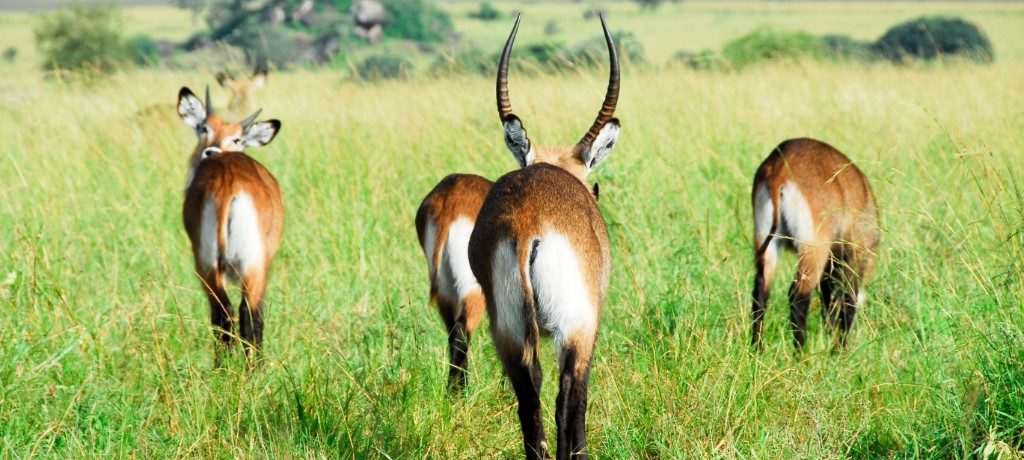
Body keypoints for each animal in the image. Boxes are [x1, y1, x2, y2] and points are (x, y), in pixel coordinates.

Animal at [178, 85, 284, 358]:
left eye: (237, 138)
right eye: (204, 127)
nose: (210, 150)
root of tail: (228, 179)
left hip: (209, 265)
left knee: (224, 313)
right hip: (249, 265)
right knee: (242, 314)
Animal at [749, 138, 884, 350]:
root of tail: (781, 166)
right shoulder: (855, 260)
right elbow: (848, 300)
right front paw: (839, 348)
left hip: (767, 245)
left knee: (761, 292)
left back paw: (757, 349)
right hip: (813, 251)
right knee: (798, 296)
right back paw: (801, 352)